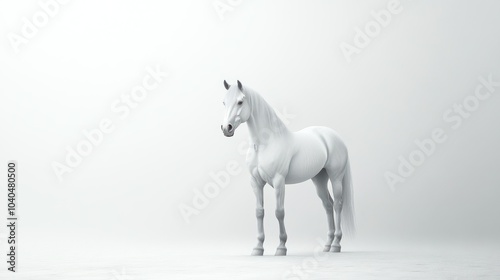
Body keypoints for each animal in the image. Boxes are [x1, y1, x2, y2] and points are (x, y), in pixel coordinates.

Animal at [220, 81, 356, 256]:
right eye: (224, 102)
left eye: (240, 102)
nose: (226, 128)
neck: (264, 144)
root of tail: (334, 136)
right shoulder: (256, 182)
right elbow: (259, 212)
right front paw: (258, 248)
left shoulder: (279, 181)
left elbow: (279, 212)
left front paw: (281, 247)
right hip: (319, 179)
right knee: (328, 205)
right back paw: (327, 245)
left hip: (336, 177)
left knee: (338, 204)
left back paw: (336, 245)